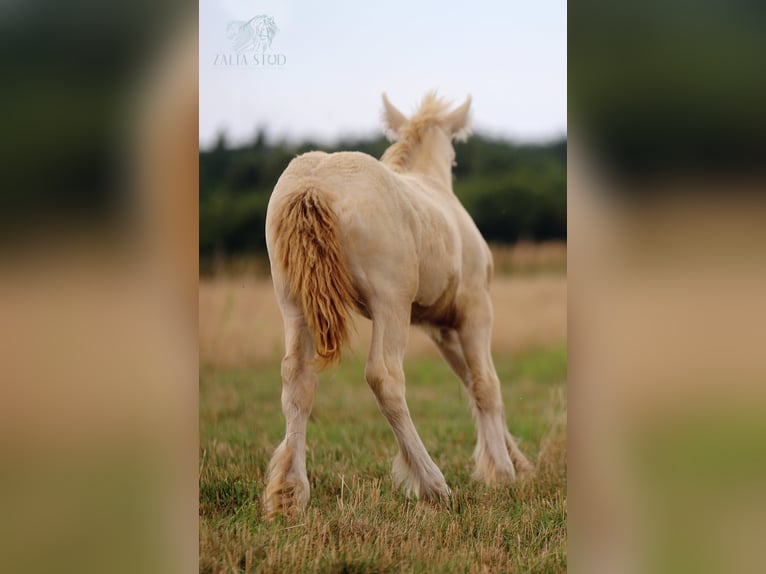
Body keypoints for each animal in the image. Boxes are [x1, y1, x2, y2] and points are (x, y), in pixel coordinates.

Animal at [264, 93, 536, 516]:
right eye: (454, 159)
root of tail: (312, 184)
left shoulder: (440, 327)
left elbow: (469, 382)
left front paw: (514, 463)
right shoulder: (475, 309)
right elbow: (487, 384)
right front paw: (503, 473)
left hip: (293, 303)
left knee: (297, 379)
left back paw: (289, 494)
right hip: (389, 302)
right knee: (384, 377)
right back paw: (433, 485)